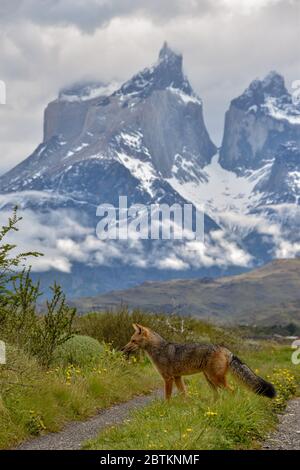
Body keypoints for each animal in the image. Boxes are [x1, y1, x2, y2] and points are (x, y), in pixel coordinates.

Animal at [122, 324, 276, 400]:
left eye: (133, 341)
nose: (122, 349)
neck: (159, 349)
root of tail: (226, 349)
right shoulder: (177, 377)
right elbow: (184, 394)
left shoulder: (168, 378)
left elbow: (167, 397)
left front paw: (166, 409)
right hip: (210, 380)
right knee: (218, 395)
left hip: (215, 379)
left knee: (233, 391)